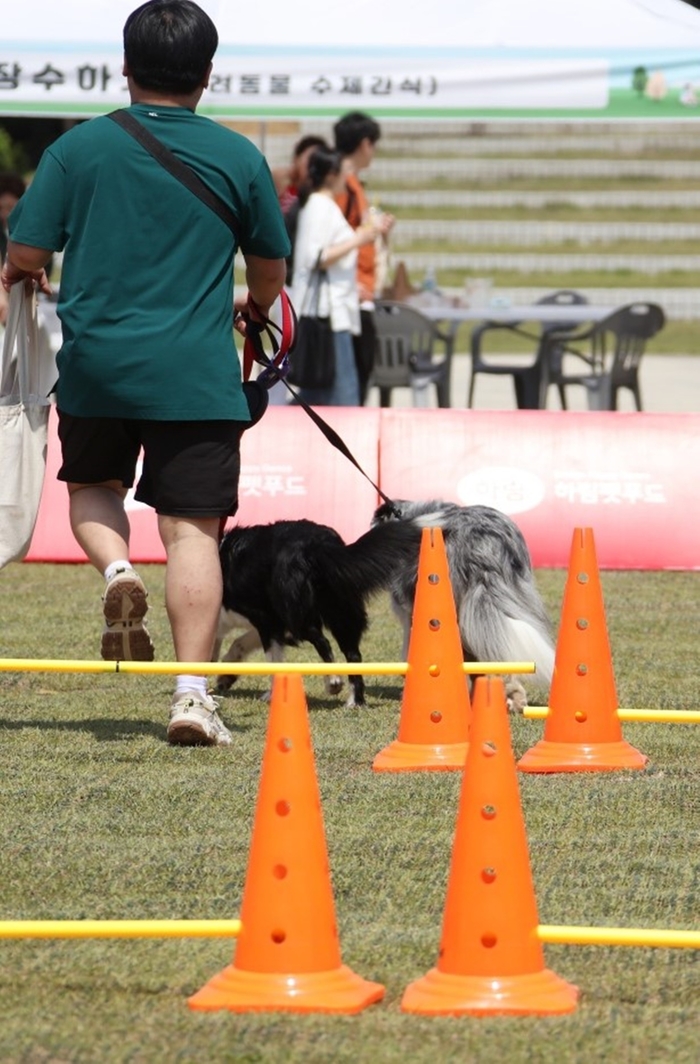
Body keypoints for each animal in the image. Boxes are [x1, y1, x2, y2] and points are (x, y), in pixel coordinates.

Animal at [213, 514, 429, 706]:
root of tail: (318, 545)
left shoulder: (266, 619)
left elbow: (270, 658)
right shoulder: (275, 626)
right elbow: (239, 643)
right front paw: (226, 675)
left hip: (299, 616)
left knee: (323, 642)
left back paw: (333, 681)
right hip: (340, 612)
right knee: (353, 654)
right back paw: (355, 701)